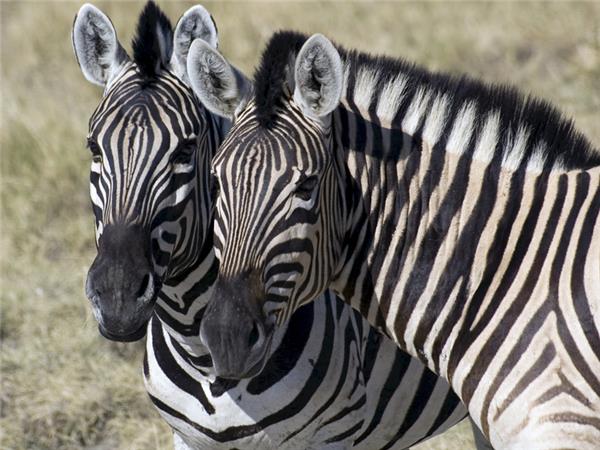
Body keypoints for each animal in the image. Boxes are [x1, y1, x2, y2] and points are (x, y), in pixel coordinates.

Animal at [72, 3, 490, 450]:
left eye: (185, 150)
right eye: (94, 148)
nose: (116, 297)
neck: (203, 361)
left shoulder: (333, 435)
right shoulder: (185, 438)